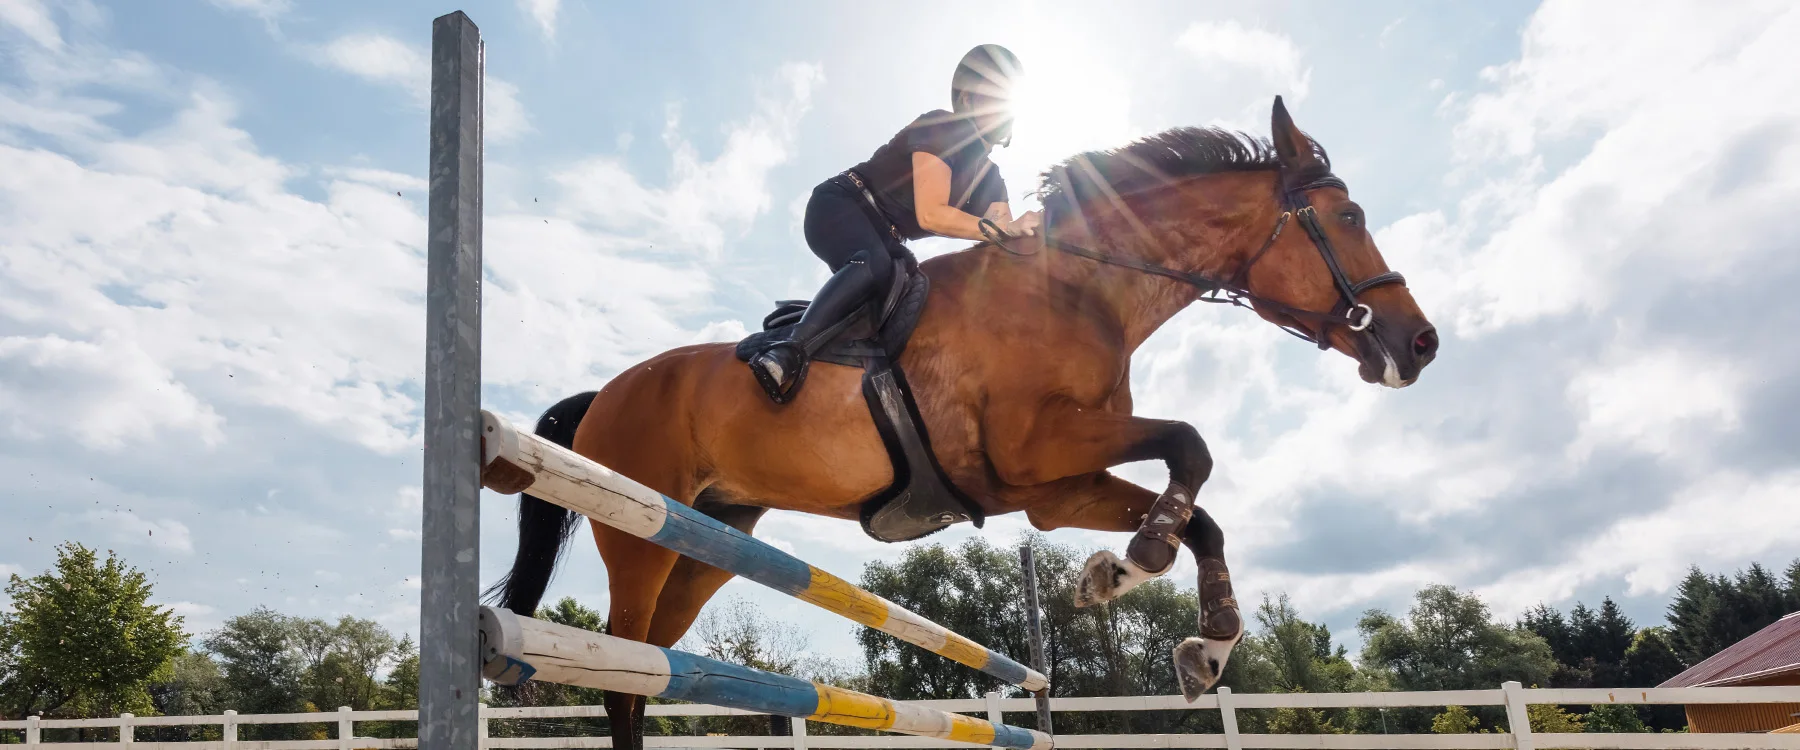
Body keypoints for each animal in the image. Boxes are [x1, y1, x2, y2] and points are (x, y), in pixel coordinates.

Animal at [487, 98, 1438, 749]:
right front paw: (1136, 562)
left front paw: (1193, 635)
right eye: (1349, 218)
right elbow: (1190, 446)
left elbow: (1200, 506)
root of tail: (606, 392)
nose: (1420, 344)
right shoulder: (1037, 449)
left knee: (652, 662)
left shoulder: (1052, 487)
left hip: (710, 539)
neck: (1082, 289)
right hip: (637, 534)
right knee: (625, 675)